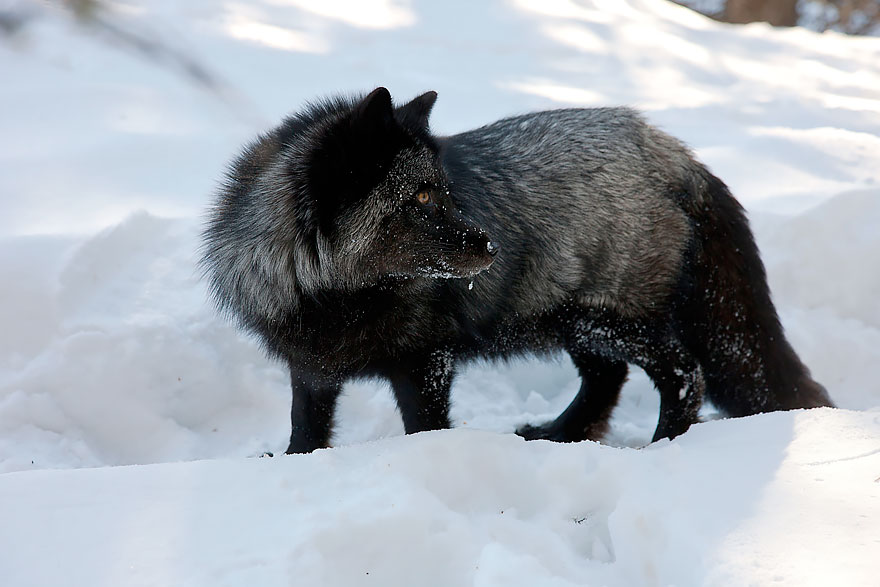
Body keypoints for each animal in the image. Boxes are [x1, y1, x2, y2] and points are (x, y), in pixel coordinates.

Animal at [201, 87, 832, 454]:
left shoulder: (427, 362)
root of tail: (669, 149)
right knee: (607, 379)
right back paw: (562, 436)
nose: (491, 247)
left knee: (683, 372)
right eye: (422, 199)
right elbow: (306, 427)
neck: (340, 296)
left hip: (605, 319)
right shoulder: (310, 365)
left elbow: (423, 427)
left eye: (446, 193)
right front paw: (296, 465)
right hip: (572, 321)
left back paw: (664, 446)